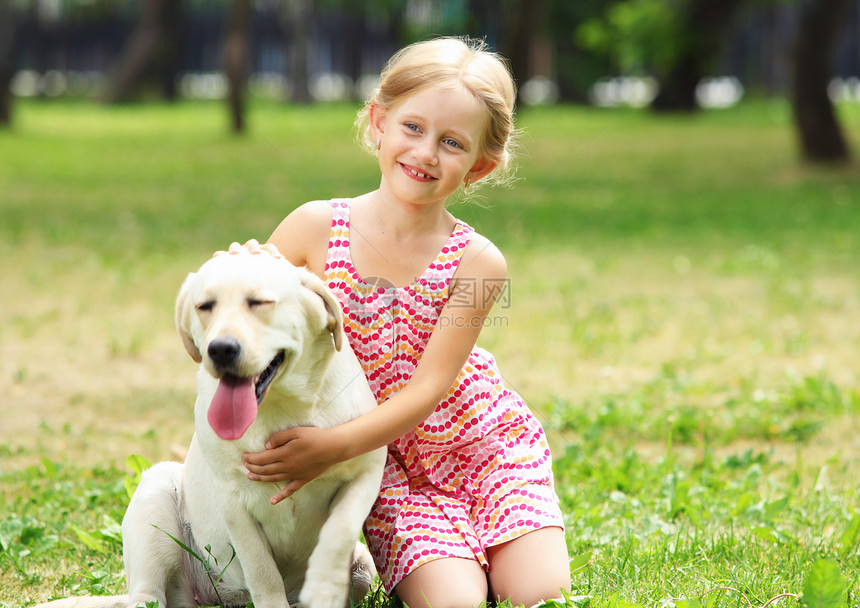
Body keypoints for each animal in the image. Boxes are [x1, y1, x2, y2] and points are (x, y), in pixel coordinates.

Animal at [40, 246, 382, 608]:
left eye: (259, 302)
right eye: (205, 306)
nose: (221, 349)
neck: (281, 409)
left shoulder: (366, 471)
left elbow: (339, 532)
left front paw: (324, 584)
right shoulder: (234, 501)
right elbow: (263, 574)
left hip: (363, 568)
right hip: (157, 490)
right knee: (148, 596)